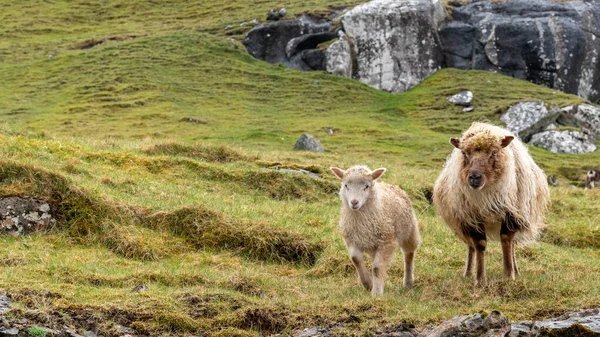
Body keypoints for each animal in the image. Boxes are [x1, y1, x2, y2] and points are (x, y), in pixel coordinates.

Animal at [328, 165, 422, 294]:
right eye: (346, 185)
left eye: (366, 186)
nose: (354, 202)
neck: (362, 220)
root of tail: (392, 185)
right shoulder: (351, 239)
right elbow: (356, 259)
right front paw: (368, 283)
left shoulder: (386, 241)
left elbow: (377, 268)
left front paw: (376, 293)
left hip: (410, 231)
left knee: (409, 254)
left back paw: (408, 282)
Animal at [432, 122, 548, 284]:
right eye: (464, 153)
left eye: (494, 152)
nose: (474, 177)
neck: (487, 194)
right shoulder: (471, 217)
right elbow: (479, 244)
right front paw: (480, 280)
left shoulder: (511, 214)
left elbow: (506, 240)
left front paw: (509, 275)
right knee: (471, 246)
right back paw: (468, 272)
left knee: (512, 245)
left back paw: (516, 270)